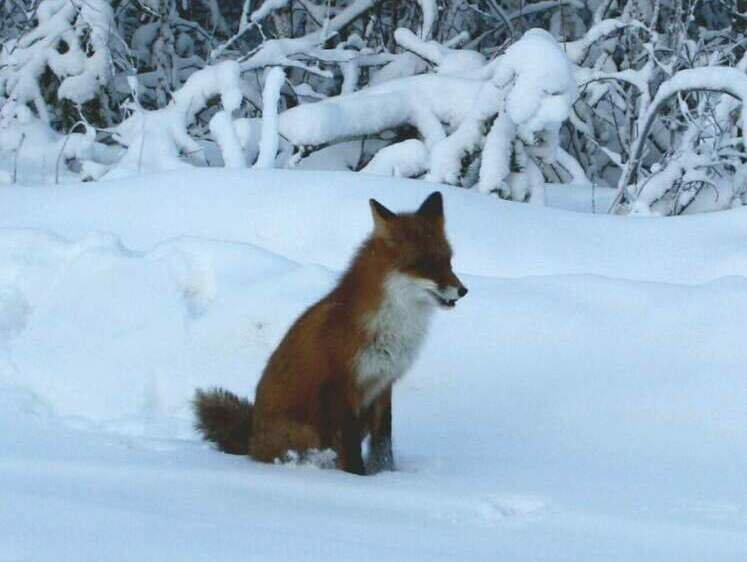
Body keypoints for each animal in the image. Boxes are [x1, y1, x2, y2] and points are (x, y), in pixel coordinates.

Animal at [196, 191, 470, 472]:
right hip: (307, 433)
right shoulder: (340, 387)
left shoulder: (383, 383)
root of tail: (251, 440)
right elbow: (351, 448)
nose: (463, 290)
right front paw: (356, 479)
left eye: (448, 261)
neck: (390, 328)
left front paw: (386, 475)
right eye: (424, 264)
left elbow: (383, 444)